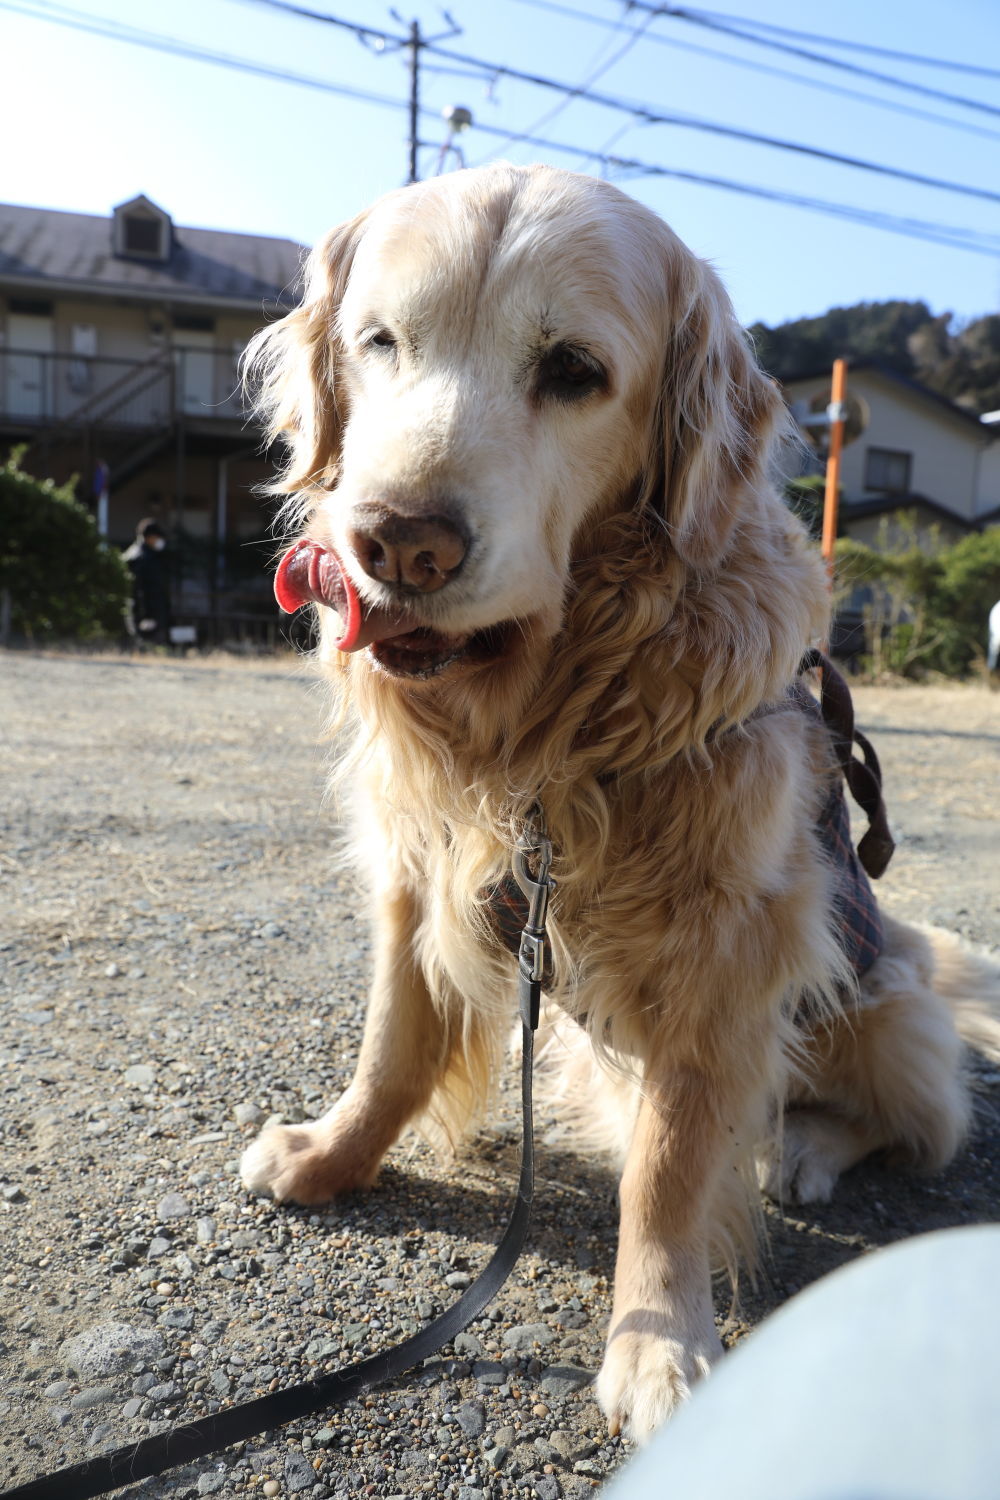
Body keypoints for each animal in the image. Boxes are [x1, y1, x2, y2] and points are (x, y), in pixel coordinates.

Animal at [236, 164, 1000, 1440]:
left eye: (574, 372)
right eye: (379, 343)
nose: (400, 545)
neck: (547, 726)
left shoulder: (727, 949)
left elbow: (674, 1163)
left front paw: (660, 1345)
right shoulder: (417, 872)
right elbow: (392, 1045)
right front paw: (332, 1155)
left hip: (883, 1008)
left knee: (906, 1120)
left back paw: (801, 1153)